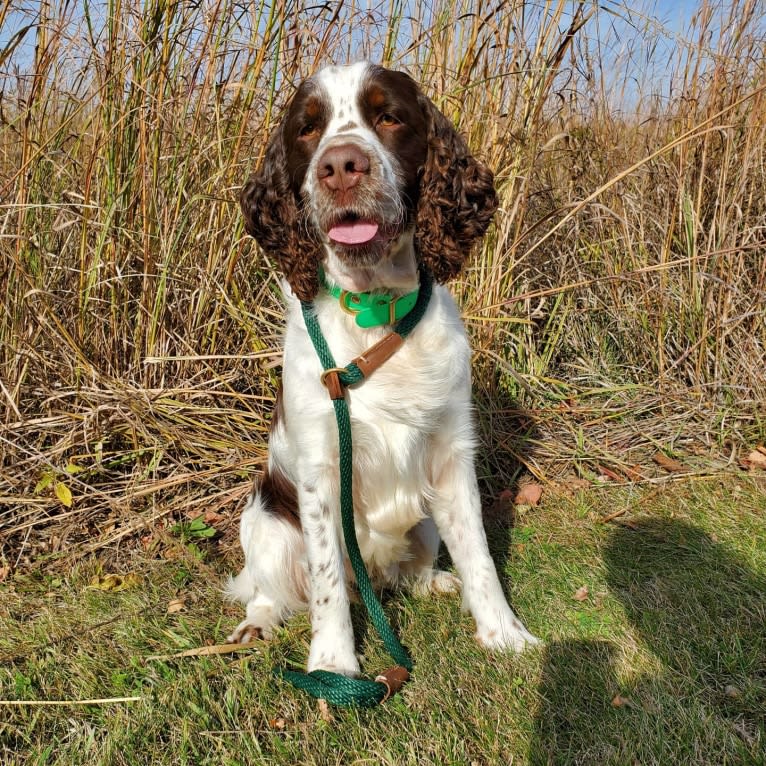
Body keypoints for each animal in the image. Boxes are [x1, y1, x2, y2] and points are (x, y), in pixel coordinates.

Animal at [228, 63, 540, 676]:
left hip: (422, 522)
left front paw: (504, 633)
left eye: (389, 116)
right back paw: (258, 622)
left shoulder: (451, 455)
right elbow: (326, 583)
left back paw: (434, 582)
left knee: (407, 570)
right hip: (267, 523)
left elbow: (480, 555)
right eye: (308, 127)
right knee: (270, 587)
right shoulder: (320, 469)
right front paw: (333, 664)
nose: (341, 166)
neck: (375, 308)